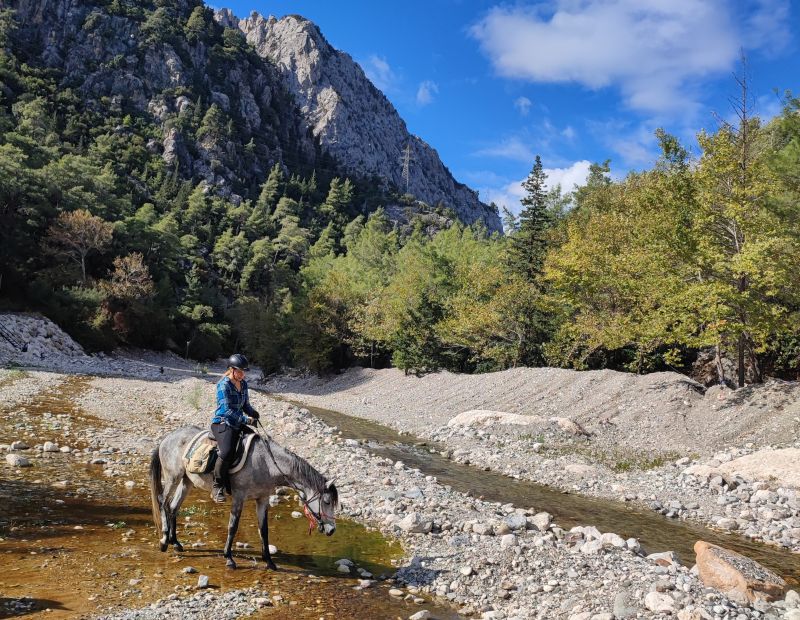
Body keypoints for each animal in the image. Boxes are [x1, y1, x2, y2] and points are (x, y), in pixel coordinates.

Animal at [149, 424, 338, 568]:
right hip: (173, 477)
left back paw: (175, 543)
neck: (266, 464)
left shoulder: (262, 499)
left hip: (186, 481)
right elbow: (233, 526)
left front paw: (269, 562)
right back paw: (164, 541)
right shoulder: (239, 497)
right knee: (162, 502)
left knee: (173, 507)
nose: (332, 530)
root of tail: (167, 438)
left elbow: (264, 529)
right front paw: (229, 558)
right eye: (327, 501)